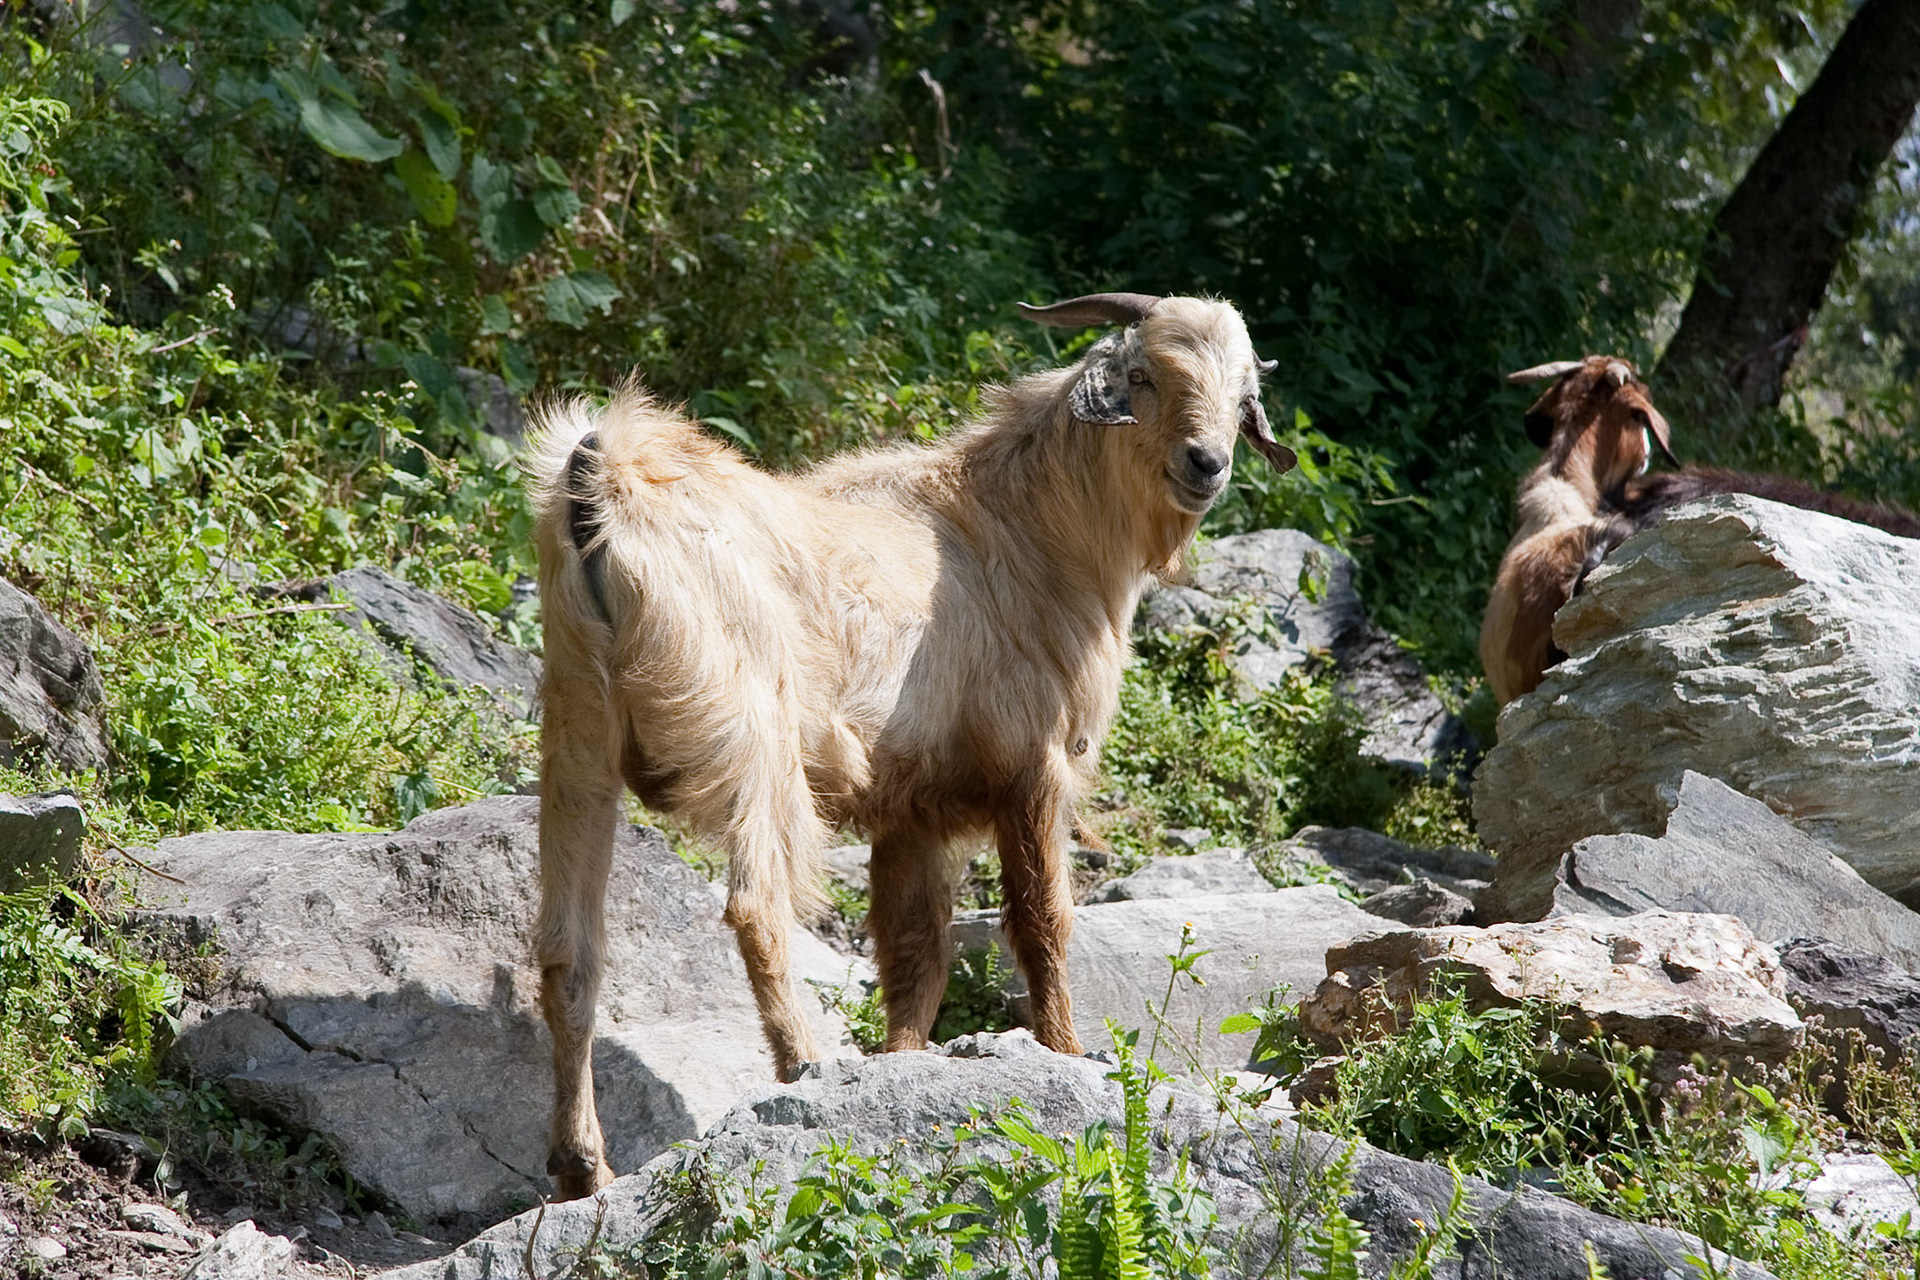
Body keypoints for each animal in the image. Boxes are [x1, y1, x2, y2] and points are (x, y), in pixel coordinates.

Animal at [528, 292, 1297, 1198]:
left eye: (1241, 394)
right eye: (1142, 375)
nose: (1206, 463)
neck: (1033, 530)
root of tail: (602, 483)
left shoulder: (914, 809)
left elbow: (914, 959)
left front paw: (903, 1069)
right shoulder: (1030, 762)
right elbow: (1041, 919)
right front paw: (1067, 1053)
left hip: (578, 732)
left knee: (568, 952)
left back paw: (582, 1166)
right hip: (752, 735)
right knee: (757, 906)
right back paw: (803, 1067)